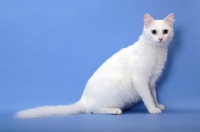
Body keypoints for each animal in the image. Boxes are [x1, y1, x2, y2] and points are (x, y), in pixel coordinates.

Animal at [15, 13, 174, 118]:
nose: (160, 38)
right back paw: (114, 111)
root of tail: (83, 99)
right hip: (114, 94)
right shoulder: (141, 81)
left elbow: (153, 96)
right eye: (154, 32)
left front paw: (158, 105)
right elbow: (147, 98)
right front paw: (153, 109)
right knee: (92, 110)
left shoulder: (151, 82)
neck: (157, 53)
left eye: (165, 31)